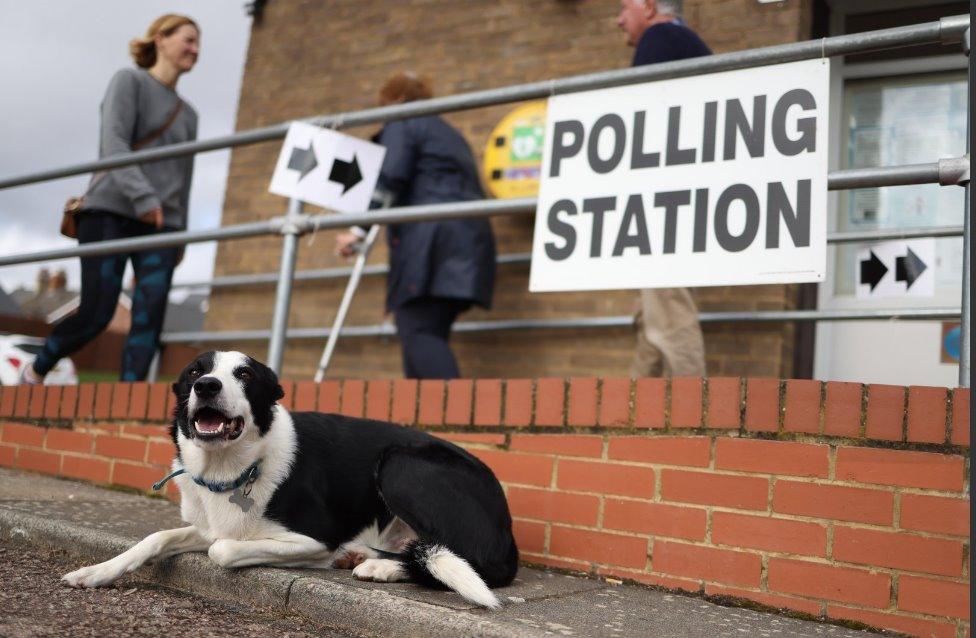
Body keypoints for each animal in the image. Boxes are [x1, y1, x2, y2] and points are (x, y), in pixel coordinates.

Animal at [63, 356, 520, 608]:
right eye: (195, 371)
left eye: (244, 374)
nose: (206, 385)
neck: (234, 466)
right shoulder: (210, 523)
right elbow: (156, 538)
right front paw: (97, 571)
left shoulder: (315, 537)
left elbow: (221, 549)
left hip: (400, 464)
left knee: (473, 561)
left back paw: (378, 565)